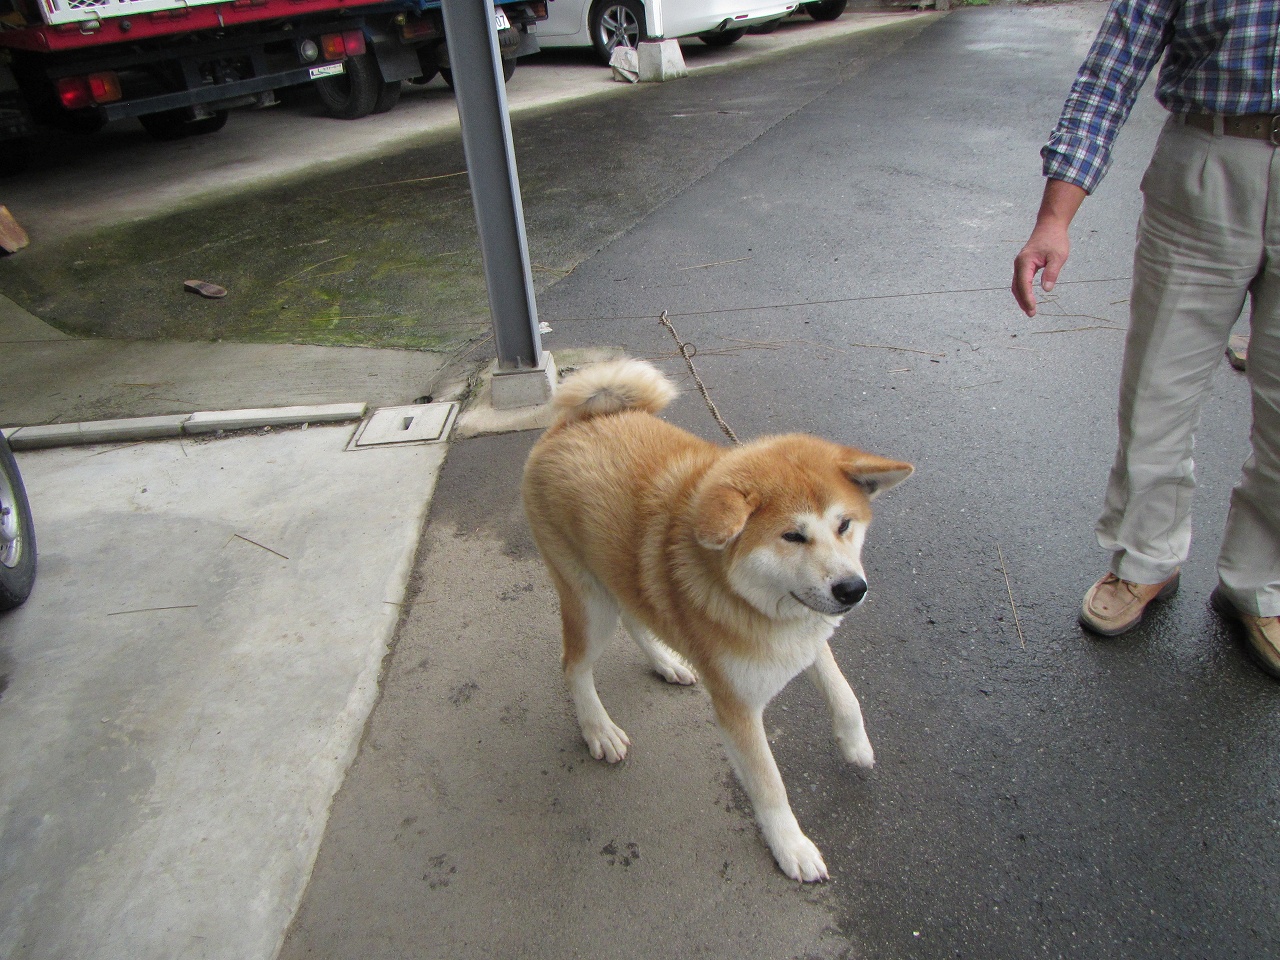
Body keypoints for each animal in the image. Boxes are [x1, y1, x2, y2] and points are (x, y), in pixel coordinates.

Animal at [519, 358, 911, 880]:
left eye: (844, 524)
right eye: (792, 536)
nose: (852, 590)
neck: (751, 601)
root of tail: (572, 425)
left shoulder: (805, 635)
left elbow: (843, 693)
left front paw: (855, 744)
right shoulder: (737, 707)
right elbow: (769, 785)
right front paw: (791, 846)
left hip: (619, 580)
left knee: (637, 617)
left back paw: (667, 662)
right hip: (589, 601)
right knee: (574, 666)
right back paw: (598, 728)